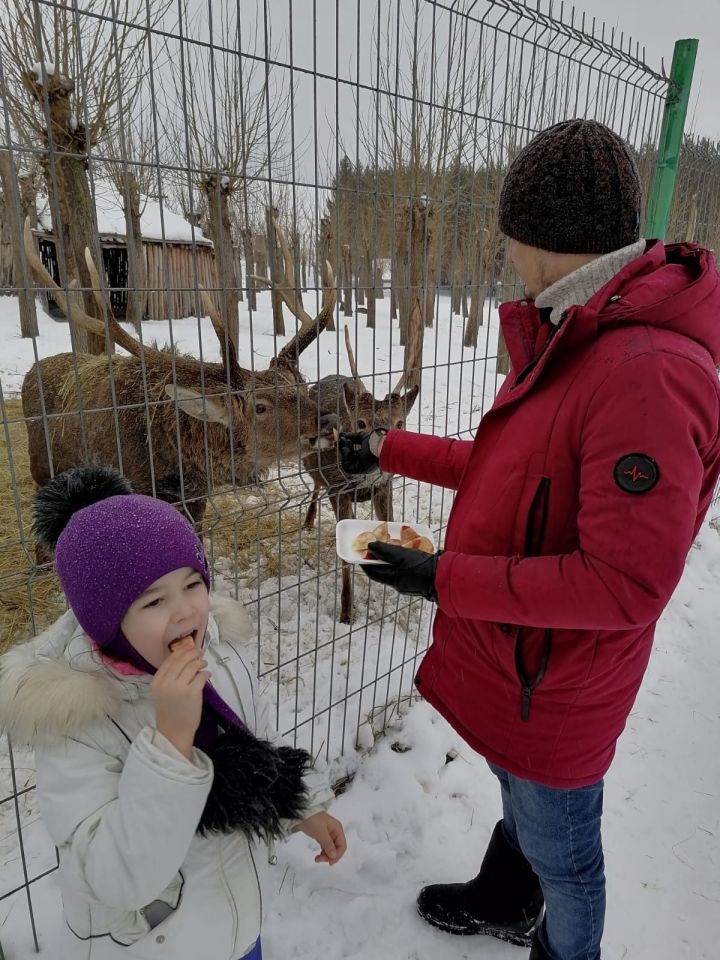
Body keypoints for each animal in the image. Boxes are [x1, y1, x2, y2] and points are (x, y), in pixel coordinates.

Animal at [19, 218, 340, 528]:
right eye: (260, 407)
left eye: (301, 388)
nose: (328, 420)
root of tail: (30, 371)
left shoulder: (196, 502)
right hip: (42, 471)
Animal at [300, 308, 422, 624]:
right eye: (361, 423)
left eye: (400, 422)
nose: (382, 451)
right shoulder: (337, 490)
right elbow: (344, 558)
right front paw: (346, 612)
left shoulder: (385, 486)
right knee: (315, 485)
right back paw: (308, 522)